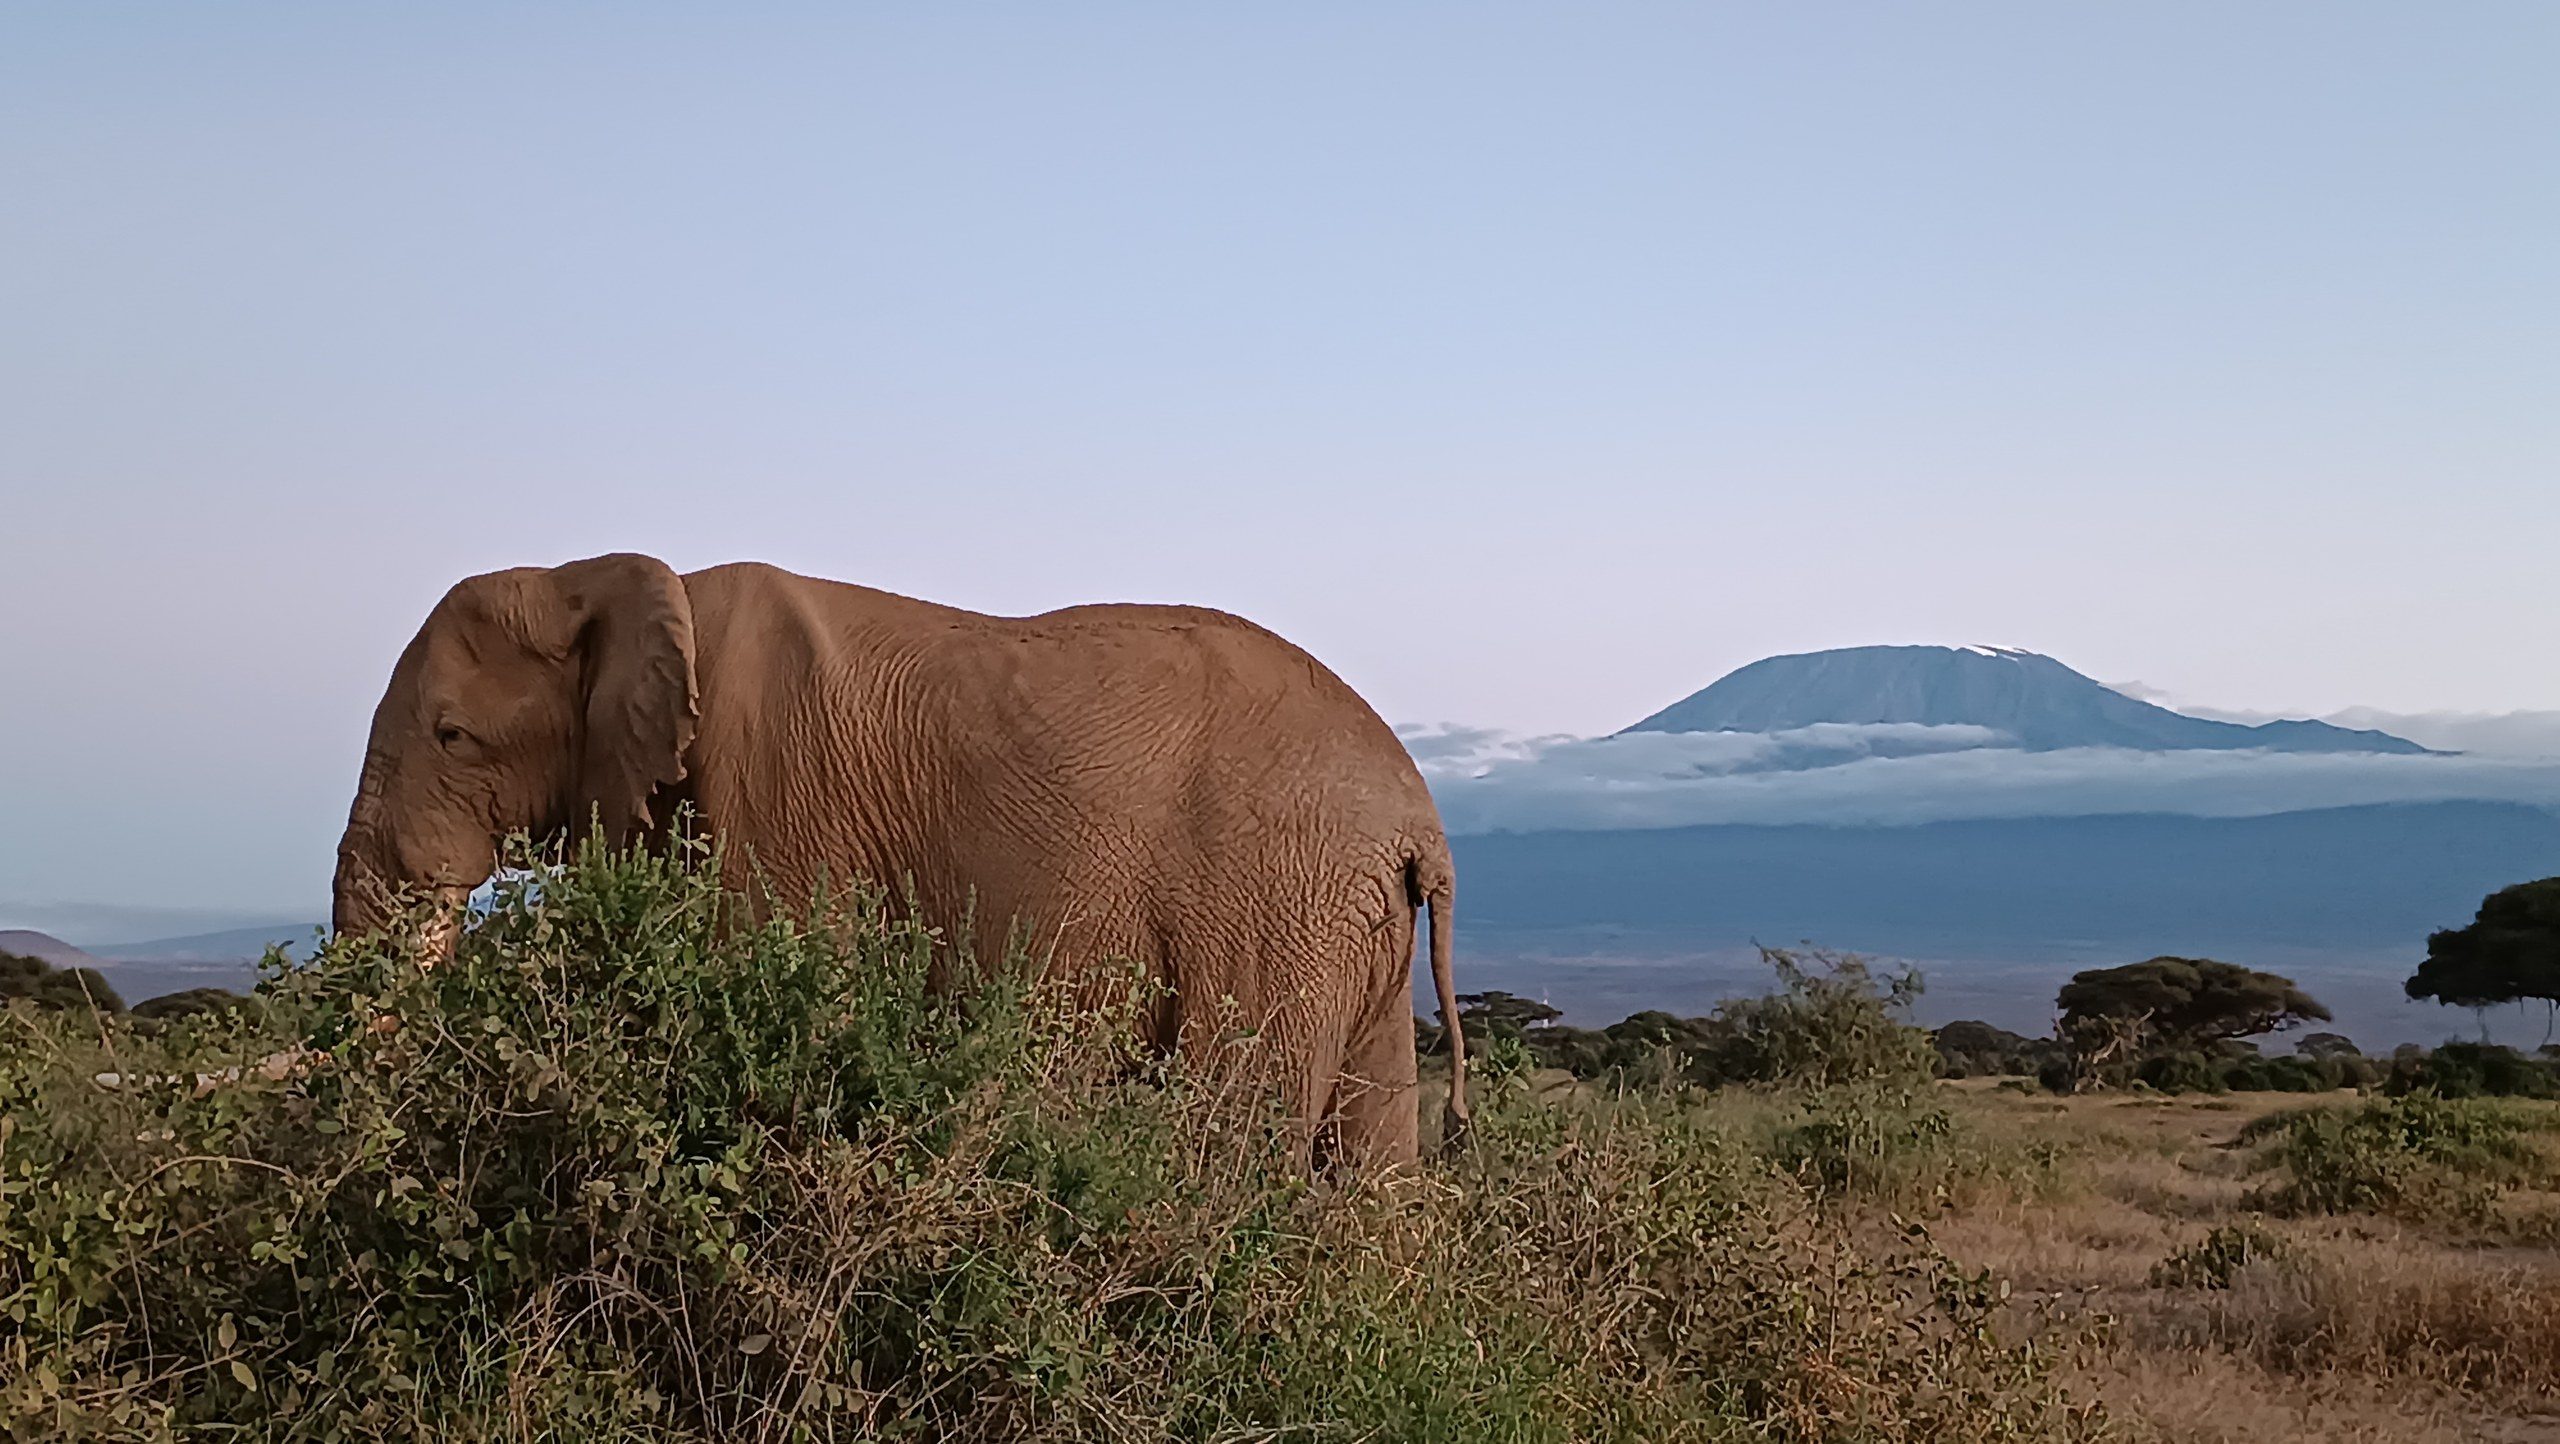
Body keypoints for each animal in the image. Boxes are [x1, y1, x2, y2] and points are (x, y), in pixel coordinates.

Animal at [332, 553, 1470, 1166]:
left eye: (450, 736)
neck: (608, 575)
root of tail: (1423, 827)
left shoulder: (775, 787)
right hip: (1347, 921)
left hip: (1277, 902)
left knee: (1227, 1142)